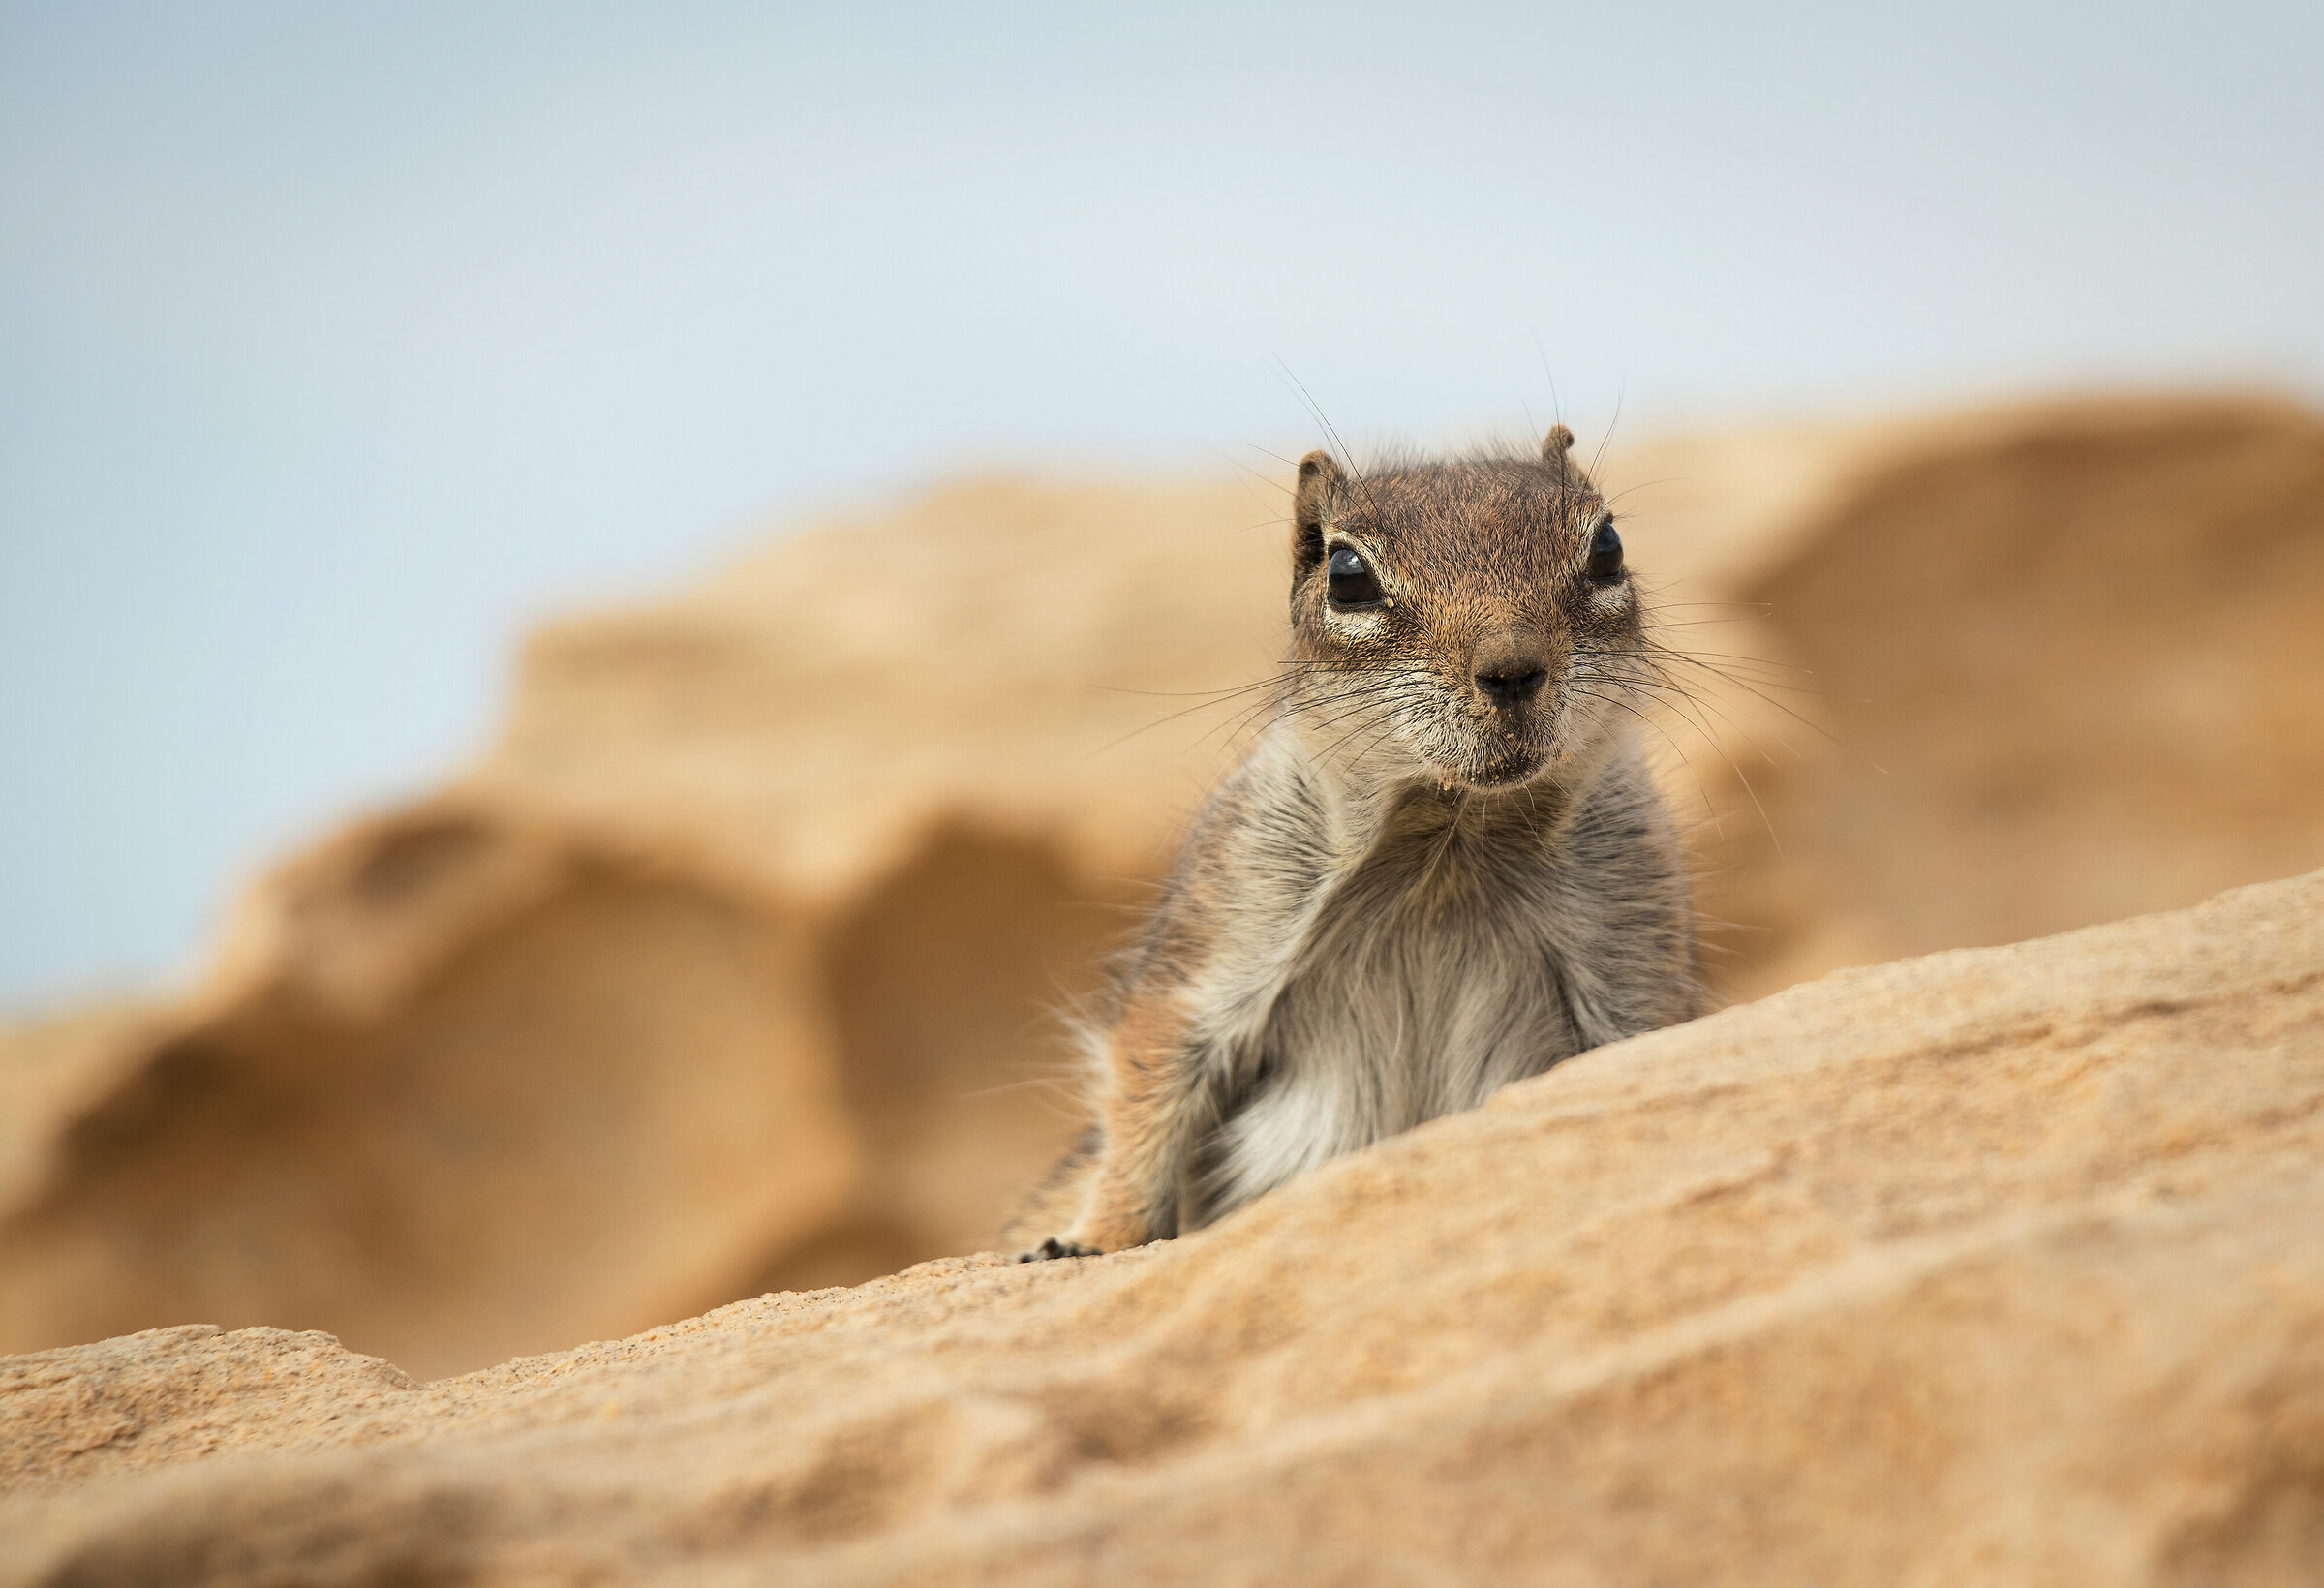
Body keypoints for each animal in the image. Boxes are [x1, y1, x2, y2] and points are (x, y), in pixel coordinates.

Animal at [1016, 424, 1701, 1260]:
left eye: (1607, 546)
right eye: (1346, 576)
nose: (1511, 670)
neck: (1447, 840)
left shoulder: (1635, 932)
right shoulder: (1219, 927)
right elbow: (1147, 1081)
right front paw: (1092, 1239)